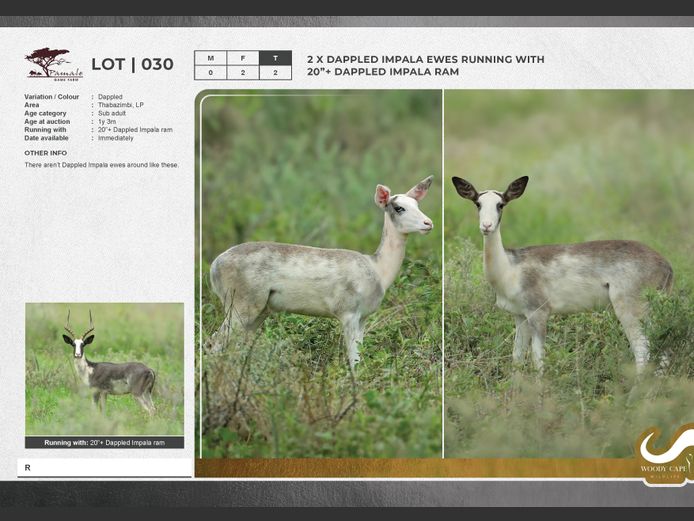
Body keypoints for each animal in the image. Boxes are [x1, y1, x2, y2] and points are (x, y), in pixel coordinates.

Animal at [209, 176, 435, 368]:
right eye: (399, 207)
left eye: (417, 205)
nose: (428, 223)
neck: (377, 270)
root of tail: (214, 266)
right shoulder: (348, 314)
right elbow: (353, 360)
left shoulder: (363, 318)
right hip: (240, 308)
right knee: (215, 343)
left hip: (258, 313)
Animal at [451, 175, 673, 373]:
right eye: (478, 203)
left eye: (501, 204)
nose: (486, 226)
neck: (510, 269)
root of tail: (667, 266)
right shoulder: (520, 316)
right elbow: (517, 358)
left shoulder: (539, 314)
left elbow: (537, 360)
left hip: (629, 309)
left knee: (642, 350)